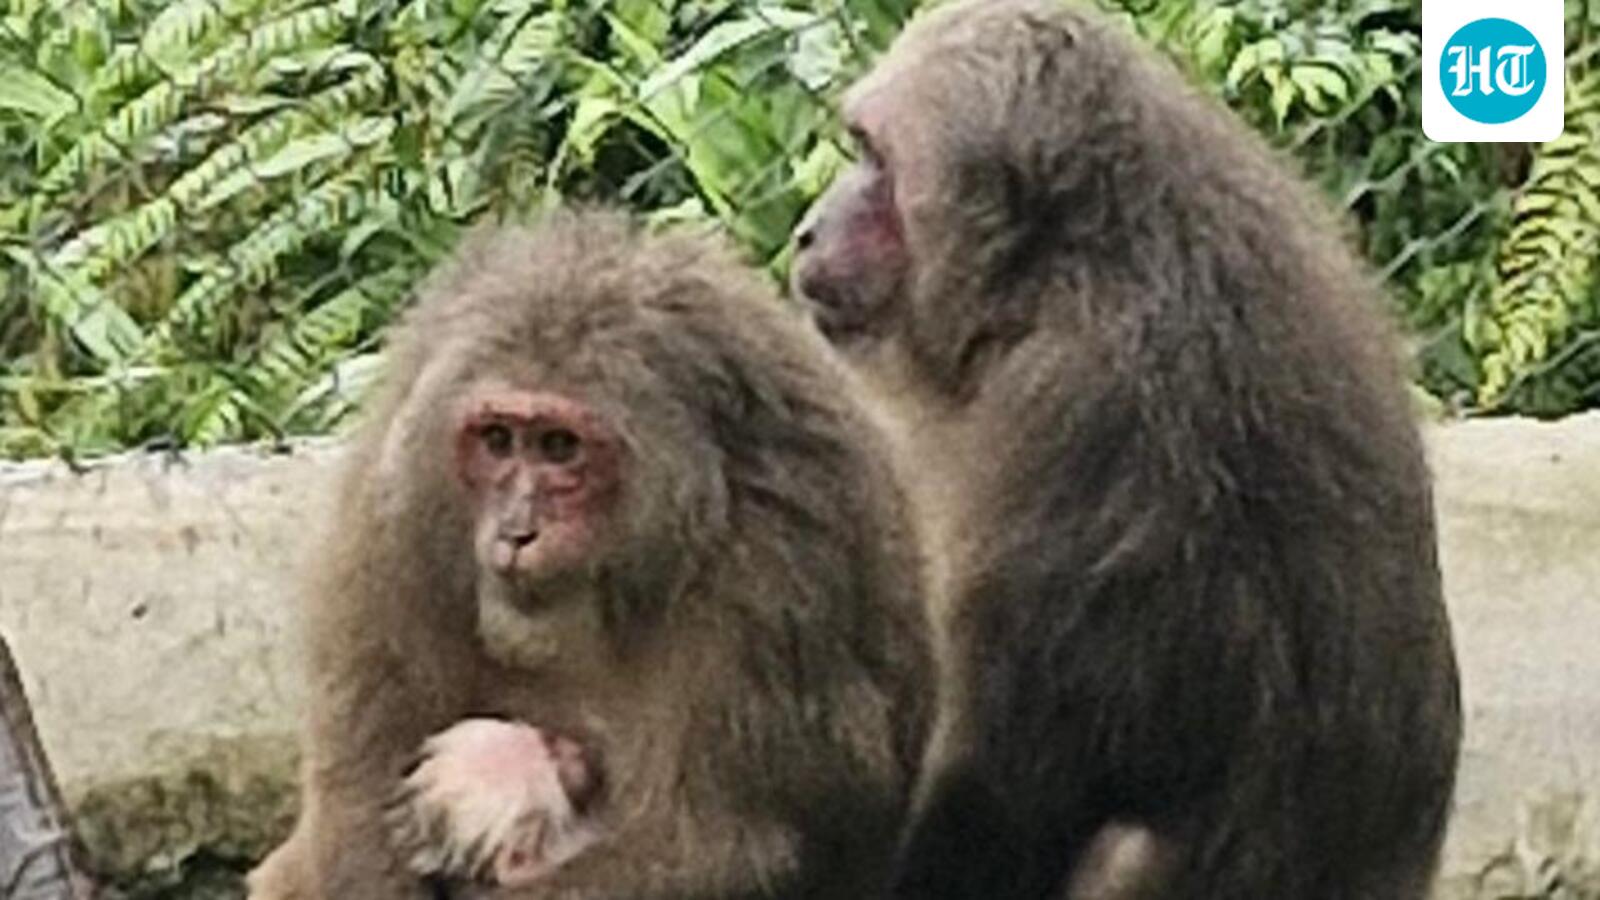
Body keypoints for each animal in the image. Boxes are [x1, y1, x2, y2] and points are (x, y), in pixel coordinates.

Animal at [246, 208, 935, 899]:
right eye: (498, 440)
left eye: (559, 447)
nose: (517, 530)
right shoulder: (395, 524)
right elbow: (355, 815)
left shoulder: (776, 576)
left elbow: (718, 848)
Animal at [789, 1, 1463, 898]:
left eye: (874, 160)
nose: (806, 231)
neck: (1062, 267)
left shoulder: (1076, 412)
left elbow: (1002, 791)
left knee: (1121, 843)